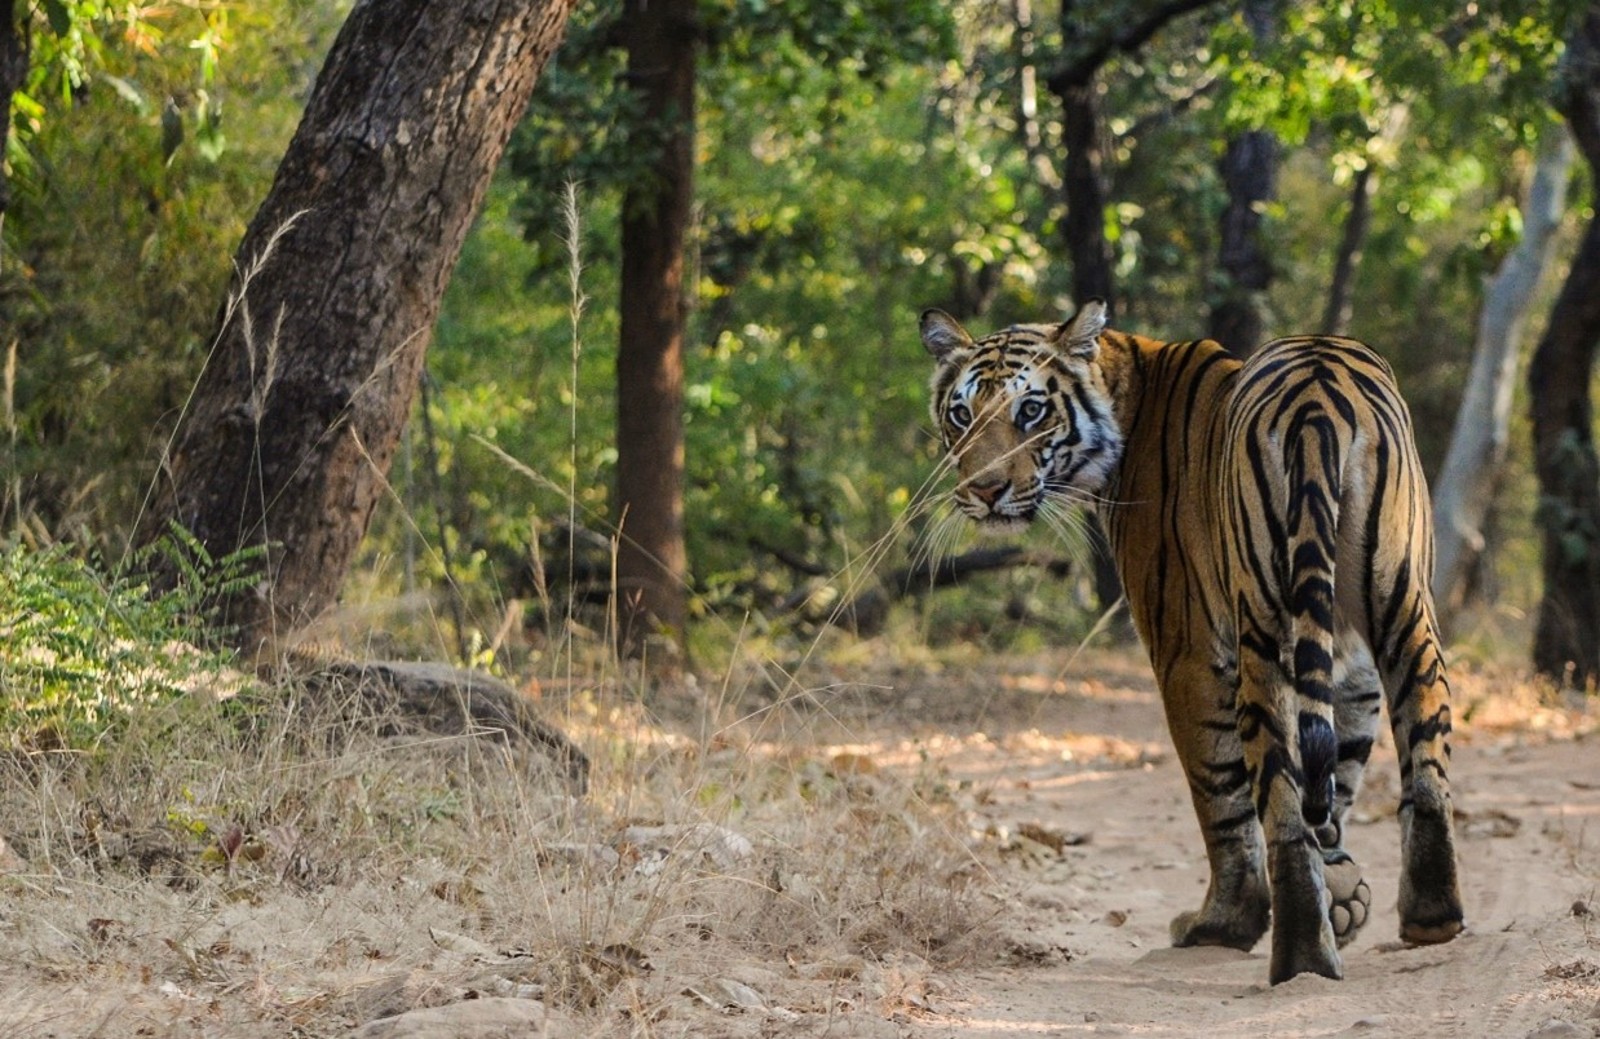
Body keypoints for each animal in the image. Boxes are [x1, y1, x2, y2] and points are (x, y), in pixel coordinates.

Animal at [928, 297, 1465, 979]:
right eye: (961, 414)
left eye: (1031, 411)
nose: (984, 491)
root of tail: (1318, 395)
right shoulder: (1354, 662)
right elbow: (1340, 775)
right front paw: (1344, 894)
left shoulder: (1184, 647)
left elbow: (1220, 795)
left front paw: (1226, 923)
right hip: (1402, 605)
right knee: (1423, 762)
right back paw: (1431, 917)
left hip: (1265, 624)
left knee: (1278, 799)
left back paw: (1300, 955)